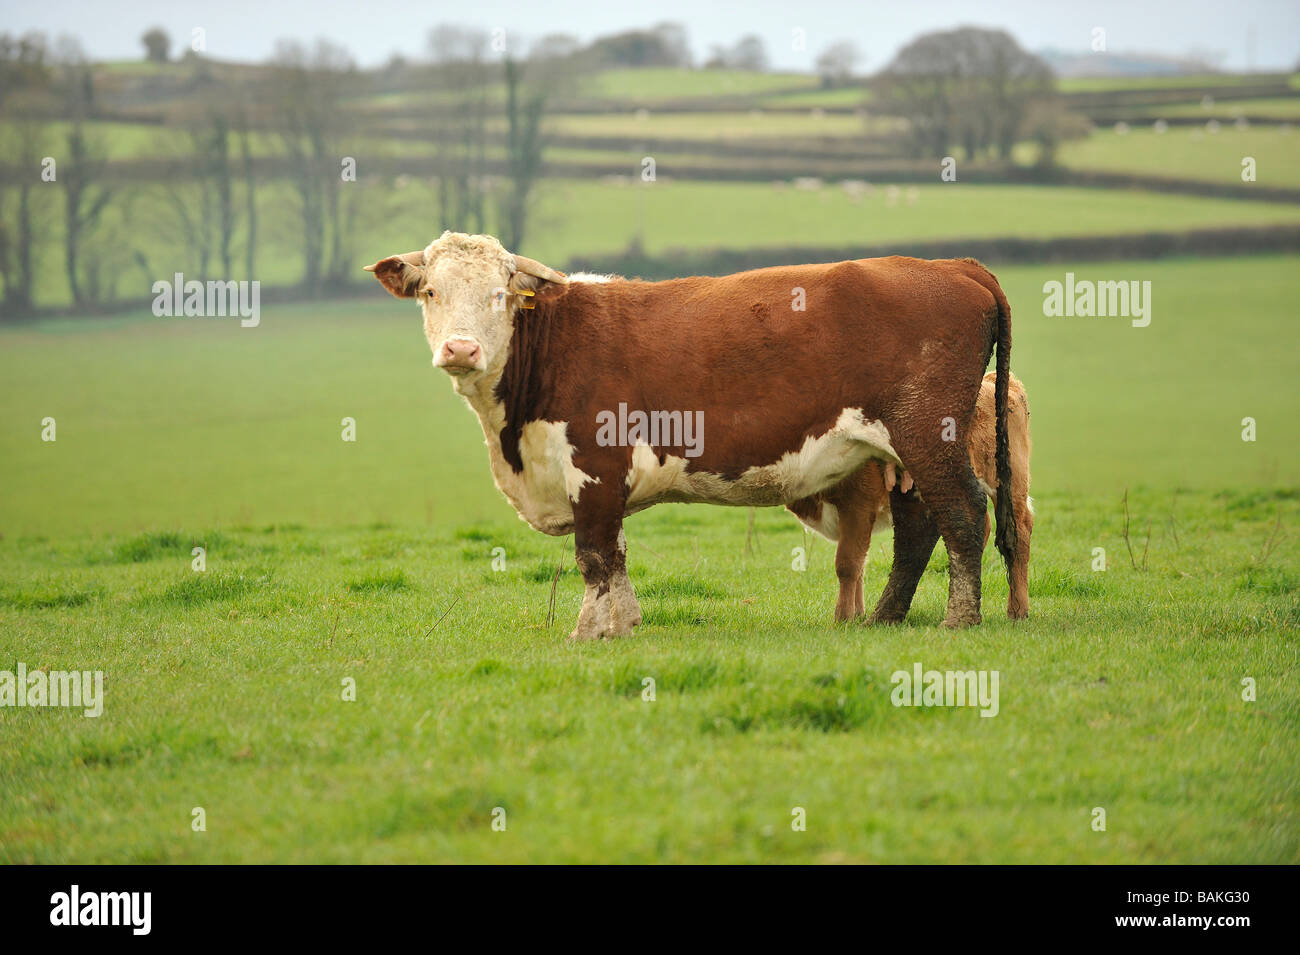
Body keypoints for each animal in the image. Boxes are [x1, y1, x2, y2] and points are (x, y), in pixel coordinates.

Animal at [780, 374, 1034, 628]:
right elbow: (861, 564)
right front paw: (858, 613)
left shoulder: (858, 505)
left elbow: (848, 563)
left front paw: (843, 618)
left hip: (1008, 482)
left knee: (1019, 534)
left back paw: (1017, 611)